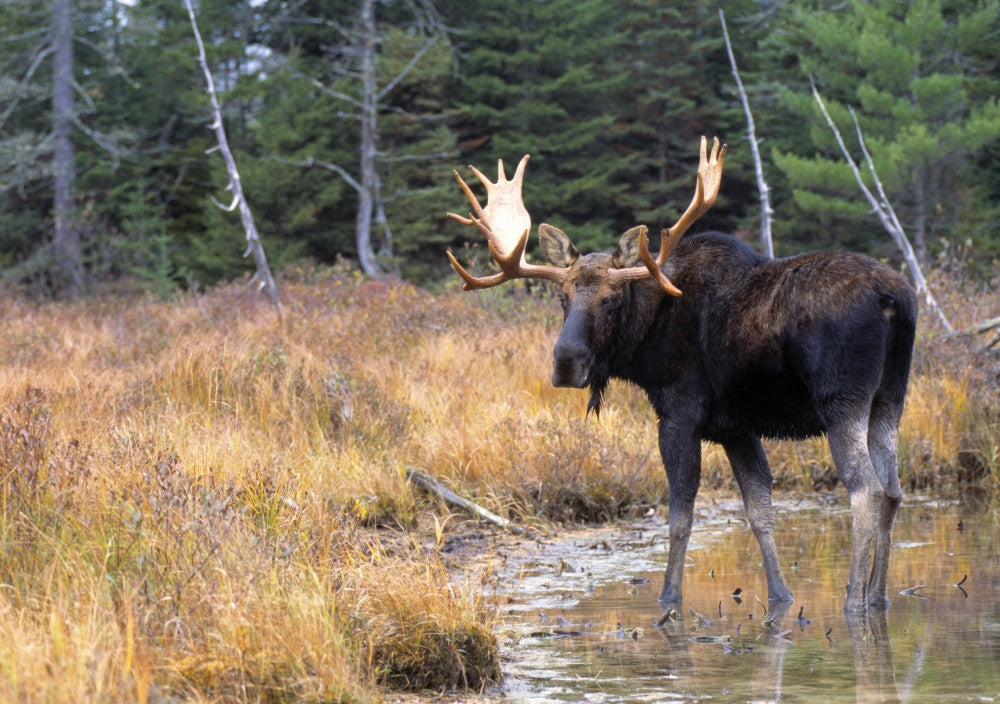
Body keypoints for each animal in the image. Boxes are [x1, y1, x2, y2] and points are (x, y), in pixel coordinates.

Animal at [445, 137, 917, 614]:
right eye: (562, 296)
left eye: (612, 299)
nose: (565, 362)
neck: (646, 341)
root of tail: (894, 296)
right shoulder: (736, 429)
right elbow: (759, 513)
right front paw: (780, 597)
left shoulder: (679, 415)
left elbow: (680, 517)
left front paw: (669, 597)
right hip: (889, 398)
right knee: (893, 489)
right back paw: (878, 597)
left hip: (841, 401)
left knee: (866, 491)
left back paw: (854, 600)